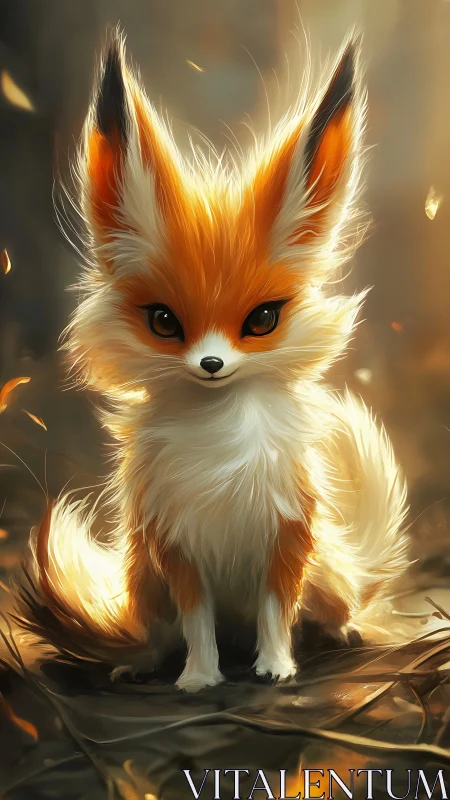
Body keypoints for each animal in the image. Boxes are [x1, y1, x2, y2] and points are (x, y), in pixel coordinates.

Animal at [15, 31, 409, 692]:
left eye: (262, 320)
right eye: (164, 322)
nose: (211, 364)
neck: (222, 441)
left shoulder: (287, 538)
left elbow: (277, 614)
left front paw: (275, 668)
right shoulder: (176, 547)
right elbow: (197, 626)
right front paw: (199, 678)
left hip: (324, 574)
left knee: (327, 608)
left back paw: (342, 633)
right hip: (144, 584)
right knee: (160, 634)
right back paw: (142, 663)